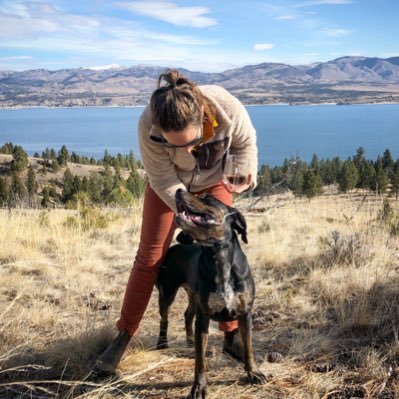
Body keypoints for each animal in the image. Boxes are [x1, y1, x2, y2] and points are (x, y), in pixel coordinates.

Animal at [158, 189, 268, 398]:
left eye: (207, 197)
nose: (179, 190)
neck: (219, 257)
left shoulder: (245, 313)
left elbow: (248, 348)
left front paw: (254, 372)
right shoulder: (204, 318)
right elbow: (199, 361)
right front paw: (199, 386)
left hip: (193, 296)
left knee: (187, 315)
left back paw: (189, 340)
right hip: (167, 294)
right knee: (164, 319)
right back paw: (162, 344)